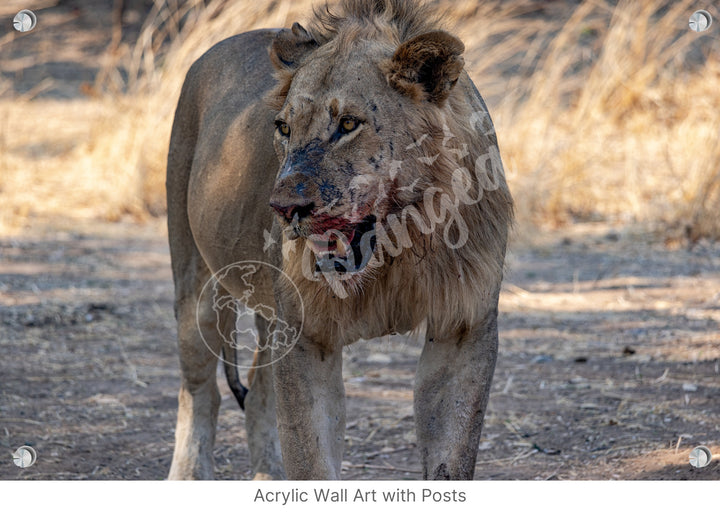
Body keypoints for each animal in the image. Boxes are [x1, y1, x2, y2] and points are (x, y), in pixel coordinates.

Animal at [166, 0, 516, 480]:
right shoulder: (306, 335)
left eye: (348, 124)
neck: (399, 249)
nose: (283, 208)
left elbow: (452, 460)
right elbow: (310, 459)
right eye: (283, 128)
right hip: (195, 282)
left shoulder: (464, 328)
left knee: (256, 396)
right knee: (199, 392)